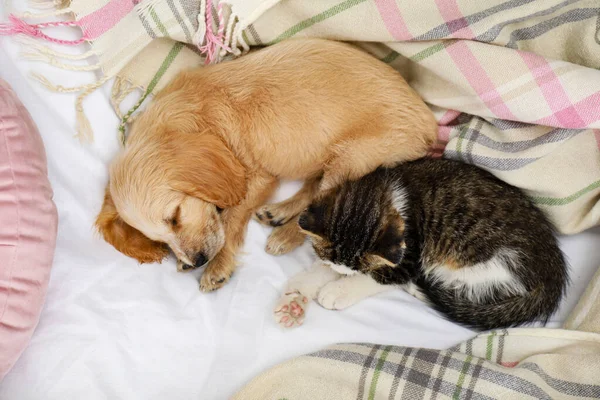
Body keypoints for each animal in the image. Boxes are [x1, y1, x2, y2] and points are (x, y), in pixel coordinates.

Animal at [96, 39, 438, 292]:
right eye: (158, 239)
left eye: (175, 217)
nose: (197, 261)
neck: (198, 115)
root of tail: (430, 124)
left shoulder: (258, 178)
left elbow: (231, 219)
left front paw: (219, 265)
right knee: (315, 186)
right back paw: (279, 212)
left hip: (353, 156)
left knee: (330, 202)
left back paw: (286, 235)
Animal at [274, 158, 568, 330]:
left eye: (361, 269)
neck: (385, 193)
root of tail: (553, 272)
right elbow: (328, 265)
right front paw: (301, 289)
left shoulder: (409, 252)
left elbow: (382, 276)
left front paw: (337, 290)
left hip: (481, 261)